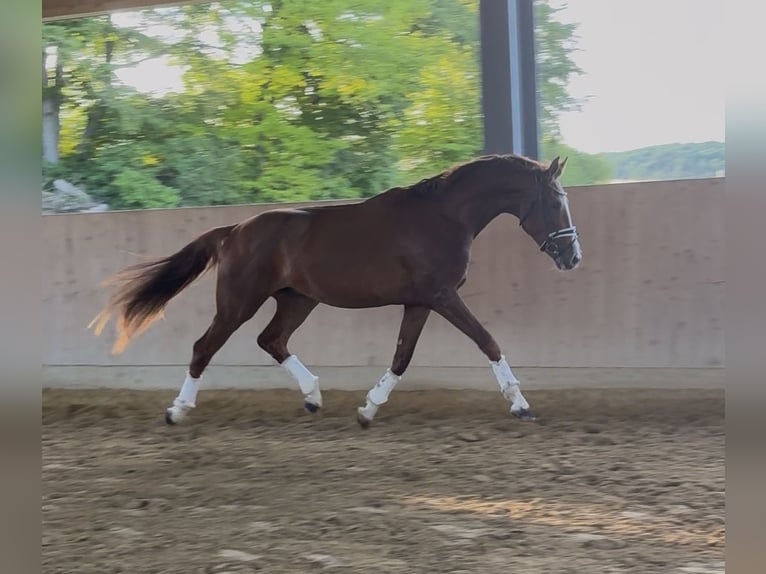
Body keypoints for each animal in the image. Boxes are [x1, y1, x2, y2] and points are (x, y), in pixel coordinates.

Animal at [88, 154, 581, 428]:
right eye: (557, 201)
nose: (572, 257)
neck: (443, 217)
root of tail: (233, 232)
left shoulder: (420, 301)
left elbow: (402, 358)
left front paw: (367, 410)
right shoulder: (442, 297)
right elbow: (488, 341)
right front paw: (521, 406)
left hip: (298, 300)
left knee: (272, 340)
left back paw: (313, 396)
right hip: (238, 302)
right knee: (203, 347)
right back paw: (177, 411)